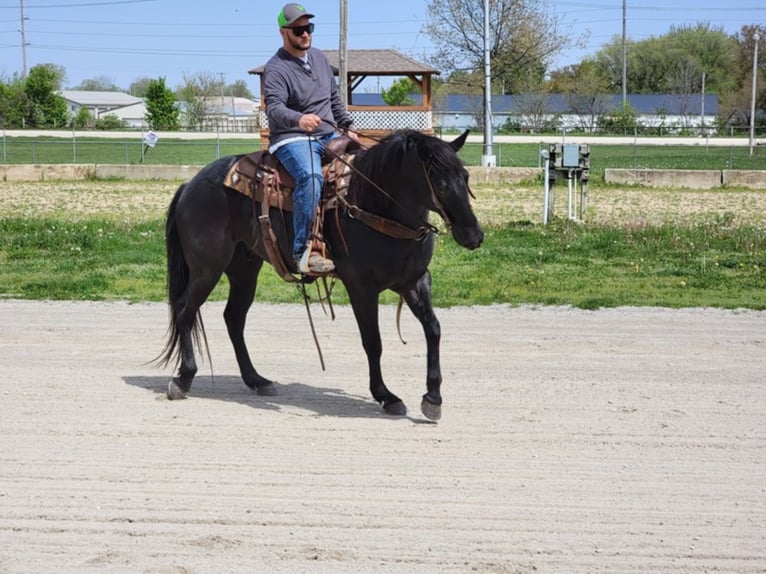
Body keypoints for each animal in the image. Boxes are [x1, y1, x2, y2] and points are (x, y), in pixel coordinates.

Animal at [158, 128, 484, 420]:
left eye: (466, 177)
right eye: (441, 184)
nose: (474, 236)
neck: (373, 204)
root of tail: (191, 184)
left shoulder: (414, 281)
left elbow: (434, 329)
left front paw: (433, 398)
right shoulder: (361, 287)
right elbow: (373, 342)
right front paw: (386, 396)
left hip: (244, 268)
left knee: (234, 318)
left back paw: (256, 380)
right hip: (207, 268)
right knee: (185, 310)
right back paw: (183, 379)